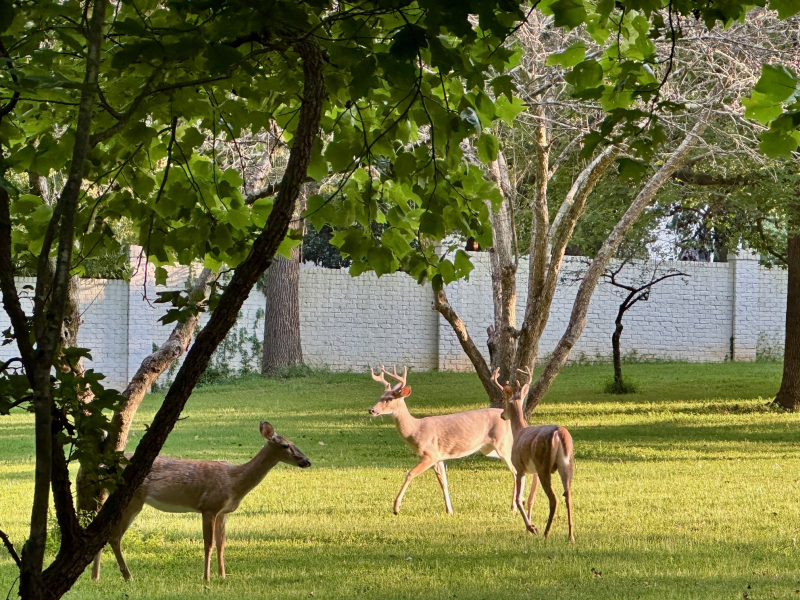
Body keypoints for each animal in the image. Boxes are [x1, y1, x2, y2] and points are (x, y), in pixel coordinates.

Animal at [92, 421, 311, 582]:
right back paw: (128, 576)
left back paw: (96, 576)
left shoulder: (223, 512)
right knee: (114, 535)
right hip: (133, 499)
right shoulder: (209, 507)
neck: (234, 482)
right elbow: (208, 544)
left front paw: (223, 576)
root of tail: (105, 466)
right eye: (285, 445)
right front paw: (207, 578)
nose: (307, 461)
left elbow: (222, 544)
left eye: (293, 441)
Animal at [369, 364, 517, 515]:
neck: (415, 429)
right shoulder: (439, 457)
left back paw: (514, 506)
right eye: (380, 396)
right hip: (488, 449)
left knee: (514, 471)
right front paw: (449, 510)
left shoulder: (431, 454)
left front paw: (396, 507)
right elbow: (443, 482)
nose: (371, 410)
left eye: (389, 399)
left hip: (502, 443)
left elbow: (410, 473)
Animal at [492, 367, 575, 542]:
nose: (502, 414)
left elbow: (519, 499)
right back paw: (570, 536)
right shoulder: (534, 471)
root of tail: (559, 433)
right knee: (568, 496)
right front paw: (528, 528)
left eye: (503, 400)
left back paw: (546, 533)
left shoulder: (520, 468)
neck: (518, 431)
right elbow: (530, 499)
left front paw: (531, 528)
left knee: (554, 498)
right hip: (567, 464)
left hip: (544, 464)